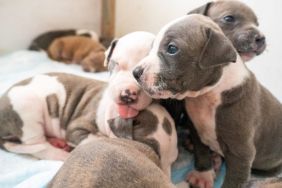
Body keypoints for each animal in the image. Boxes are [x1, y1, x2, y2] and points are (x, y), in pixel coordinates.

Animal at [133, 14, 282, 188]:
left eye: (172, 49)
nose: (135, 72)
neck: (207, 95)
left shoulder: (241, 154)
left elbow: (234, 180)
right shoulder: (196, 128)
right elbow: (201, 151)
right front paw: (203, 175)